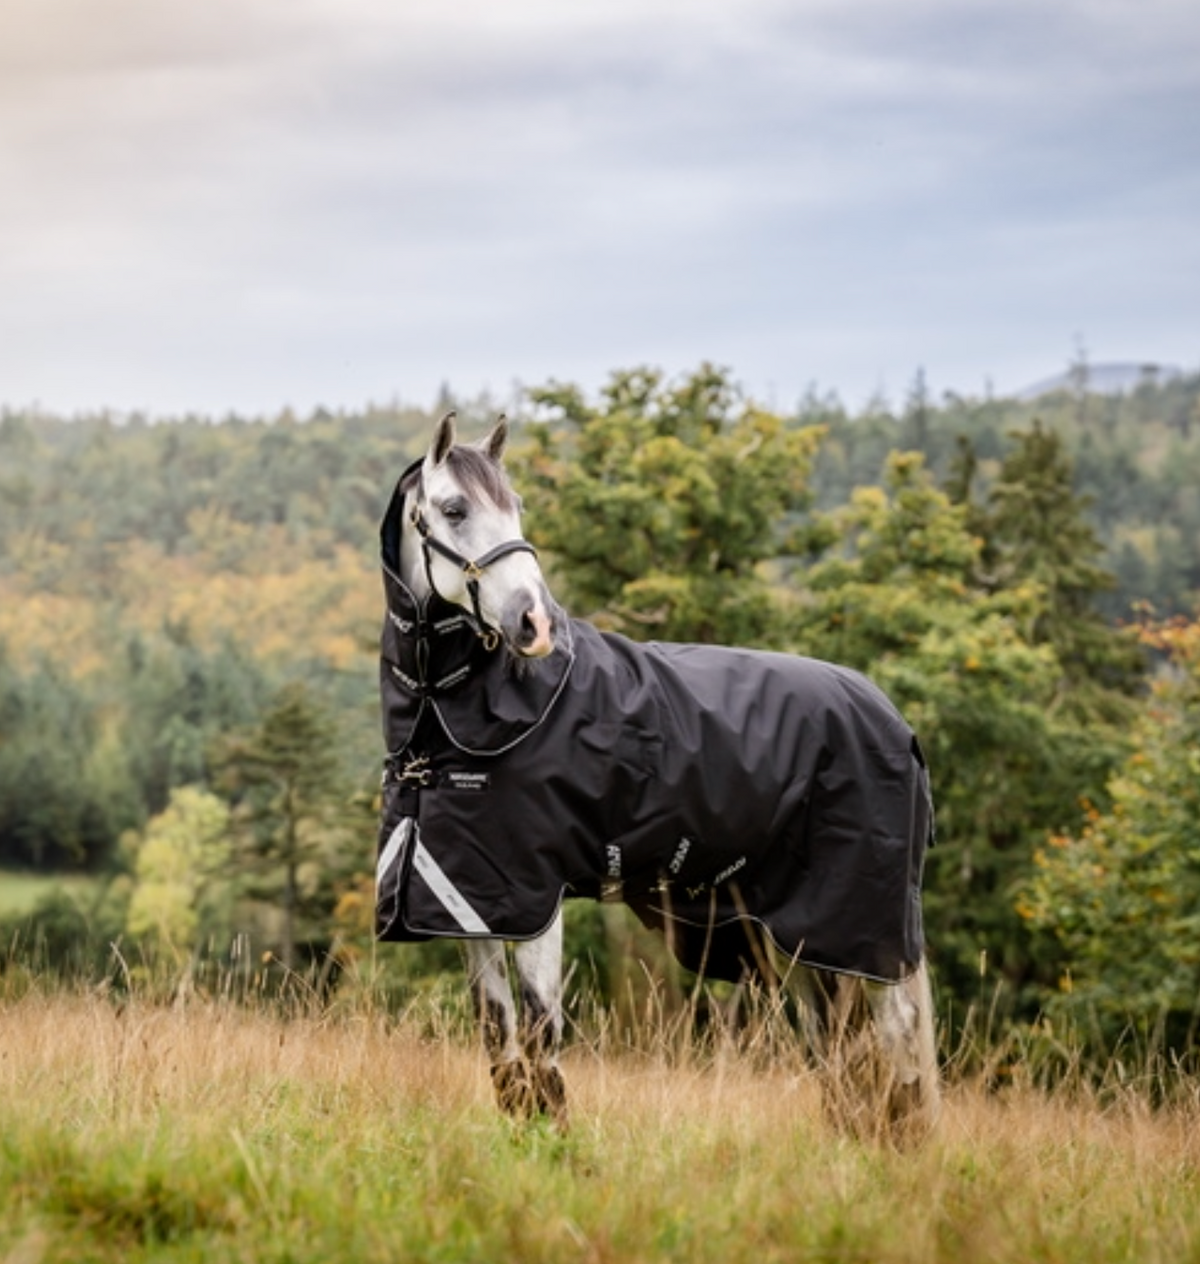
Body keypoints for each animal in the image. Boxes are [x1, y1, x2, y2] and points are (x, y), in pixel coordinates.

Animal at [379, 412, 940, 1147]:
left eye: (516, 505)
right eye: (454, 510)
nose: (534, 623)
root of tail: (893, 719)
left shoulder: (531, 901)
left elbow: (540, 1041)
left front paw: (555, 1151)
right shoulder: (469, 907)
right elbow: (501, 1044)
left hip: (858, 929)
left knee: (899, 1046)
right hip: (792, 941)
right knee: (838, 1055)